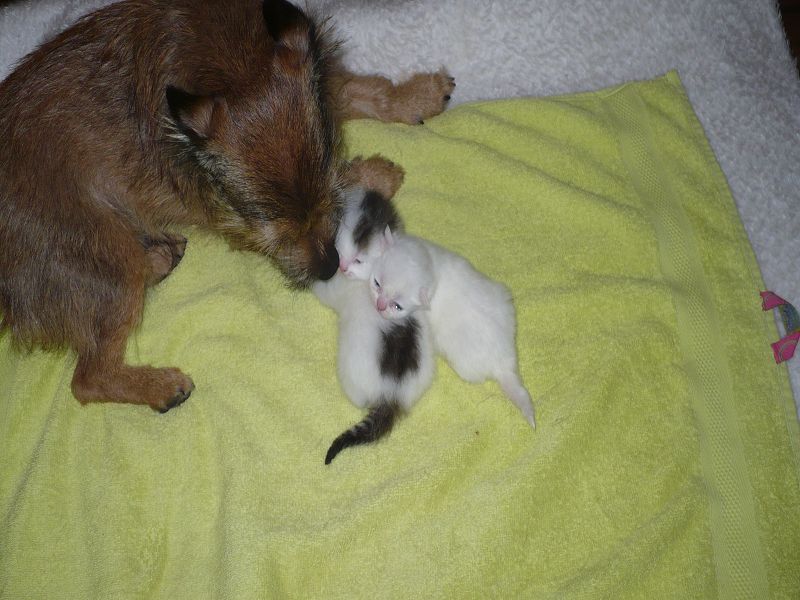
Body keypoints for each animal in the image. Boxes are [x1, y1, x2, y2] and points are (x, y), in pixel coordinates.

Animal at [0, 0, 454, 412]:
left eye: (327, 201)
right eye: (272, 231)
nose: (328, 268)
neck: (225, 58)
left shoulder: (321, 80)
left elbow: (362, 88)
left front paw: (417, 95)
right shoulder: (230, 221)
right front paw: (376, 172)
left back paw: (159, 259)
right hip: (105, 258)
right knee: (88, 378)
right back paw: (160, 386)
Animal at [369, 228, 536, 428]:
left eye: (397, 306)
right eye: (377, 283)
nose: (379, 306)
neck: (432, 268)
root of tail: (504, 362)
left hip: (464, 365)